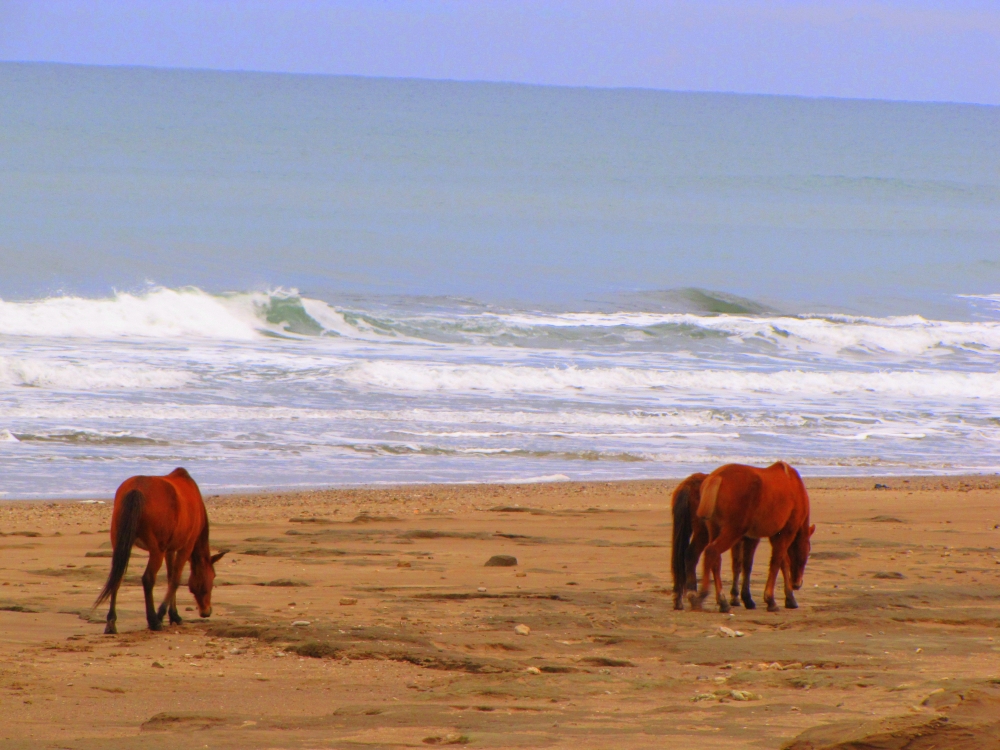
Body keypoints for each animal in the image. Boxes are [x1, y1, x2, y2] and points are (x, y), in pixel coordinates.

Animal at [94, 470, 227, 636]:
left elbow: (170, 577)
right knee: (148, 579)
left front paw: (174, 615)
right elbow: (175, 580)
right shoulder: (185, 547)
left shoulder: (170, 549)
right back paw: (153, 620)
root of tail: (137, 489)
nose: (206, 611)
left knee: (116, 578)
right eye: (213, 576)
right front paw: (163, 615)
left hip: (120, 544)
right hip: (156, 551)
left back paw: (111, 623)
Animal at [672, 476, 756, 612]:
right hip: (703, 534)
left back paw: (679, 599)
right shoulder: (748, 539)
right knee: (692, 555)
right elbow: (743, 565)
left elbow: (737, 564)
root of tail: (690, 483)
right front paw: (740, 598)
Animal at [692, 464, 816, 616]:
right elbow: (777, 563)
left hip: (715, 529)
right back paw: (712, 597)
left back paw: (721, 601)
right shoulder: (786, 533)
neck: (795, 487)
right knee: (712, 551)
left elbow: (765, 564)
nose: (797, 584)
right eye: (807, 552)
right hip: (732, 532)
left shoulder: (758, 537)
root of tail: (717, 476)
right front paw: (771, 599)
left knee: (715, 560)